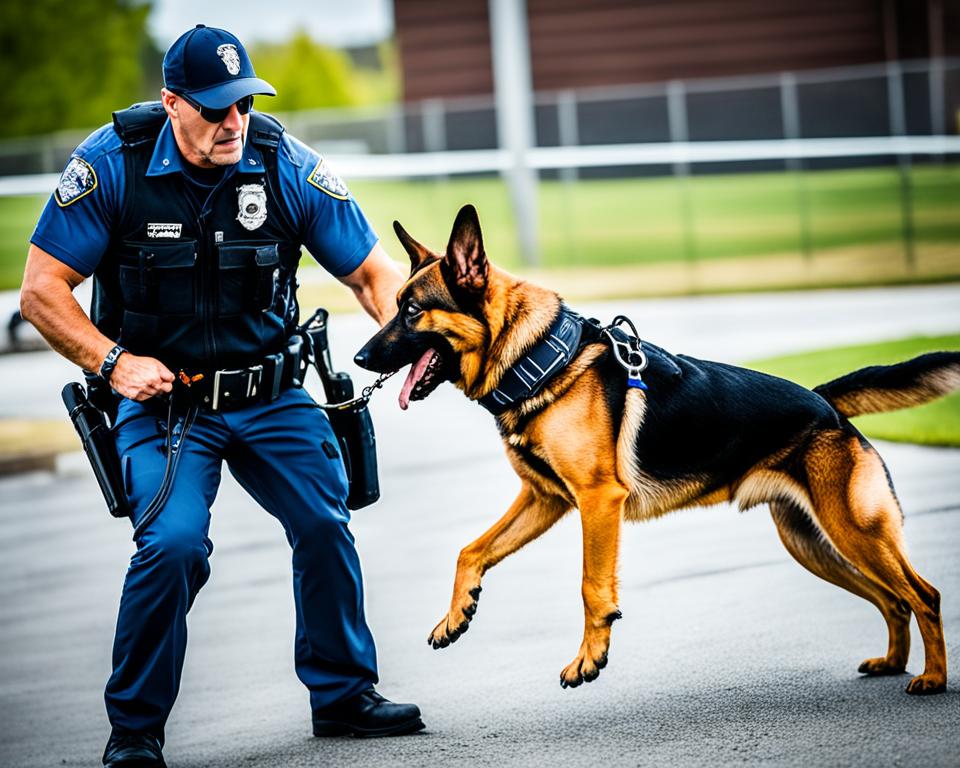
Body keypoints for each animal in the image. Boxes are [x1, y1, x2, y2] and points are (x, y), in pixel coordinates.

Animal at [354, 204, 960, 696]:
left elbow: (591, 586)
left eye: (412, 311)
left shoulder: (598, 501)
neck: (539, 359)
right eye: (395, 305)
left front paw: (589, 659)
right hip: (814, 544)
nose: (359, 358)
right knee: (893, 599)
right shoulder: (544, 500)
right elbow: (470, 550)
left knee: (923, 595)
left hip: (854, 532)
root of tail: (823, 401)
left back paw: (932, 678)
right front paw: (457, 615)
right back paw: (893, 663)